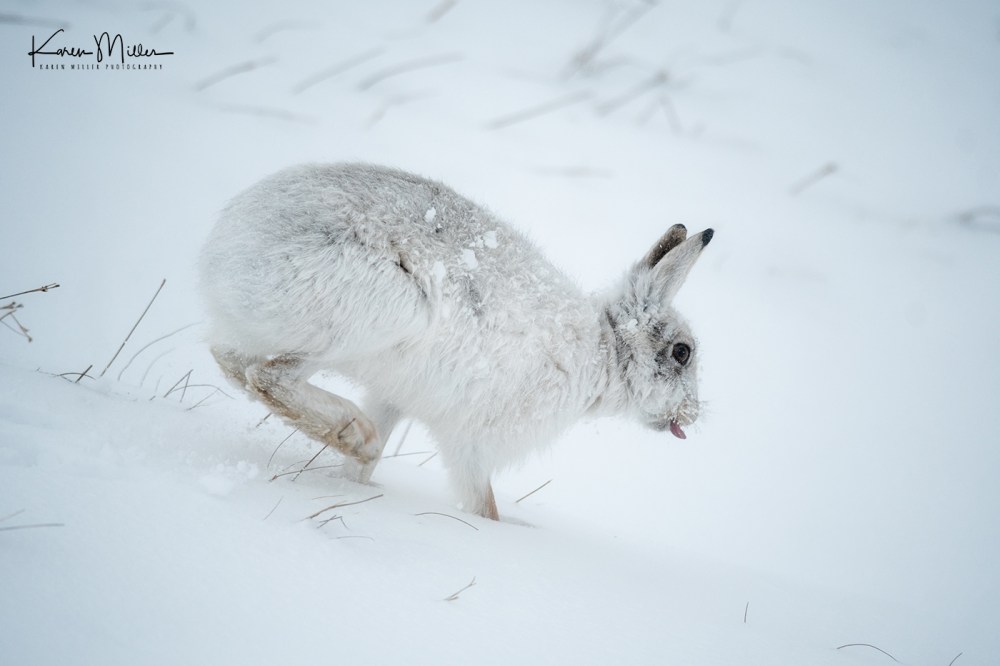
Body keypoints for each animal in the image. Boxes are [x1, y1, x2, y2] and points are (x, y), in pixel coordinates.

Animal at [199, 163, 713, 520]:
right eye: (682, 353)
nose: (692, 413)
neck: (604, 352)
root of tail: (226, 249)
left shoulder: (392, 397)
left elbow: (364, 464)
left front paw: (356, 486)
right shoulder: (472, 442)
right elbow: (484, 506)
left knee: (233, 362)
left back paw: (358, 441)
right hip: (383, 310)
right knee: (267, 376)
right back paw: (358, 435)